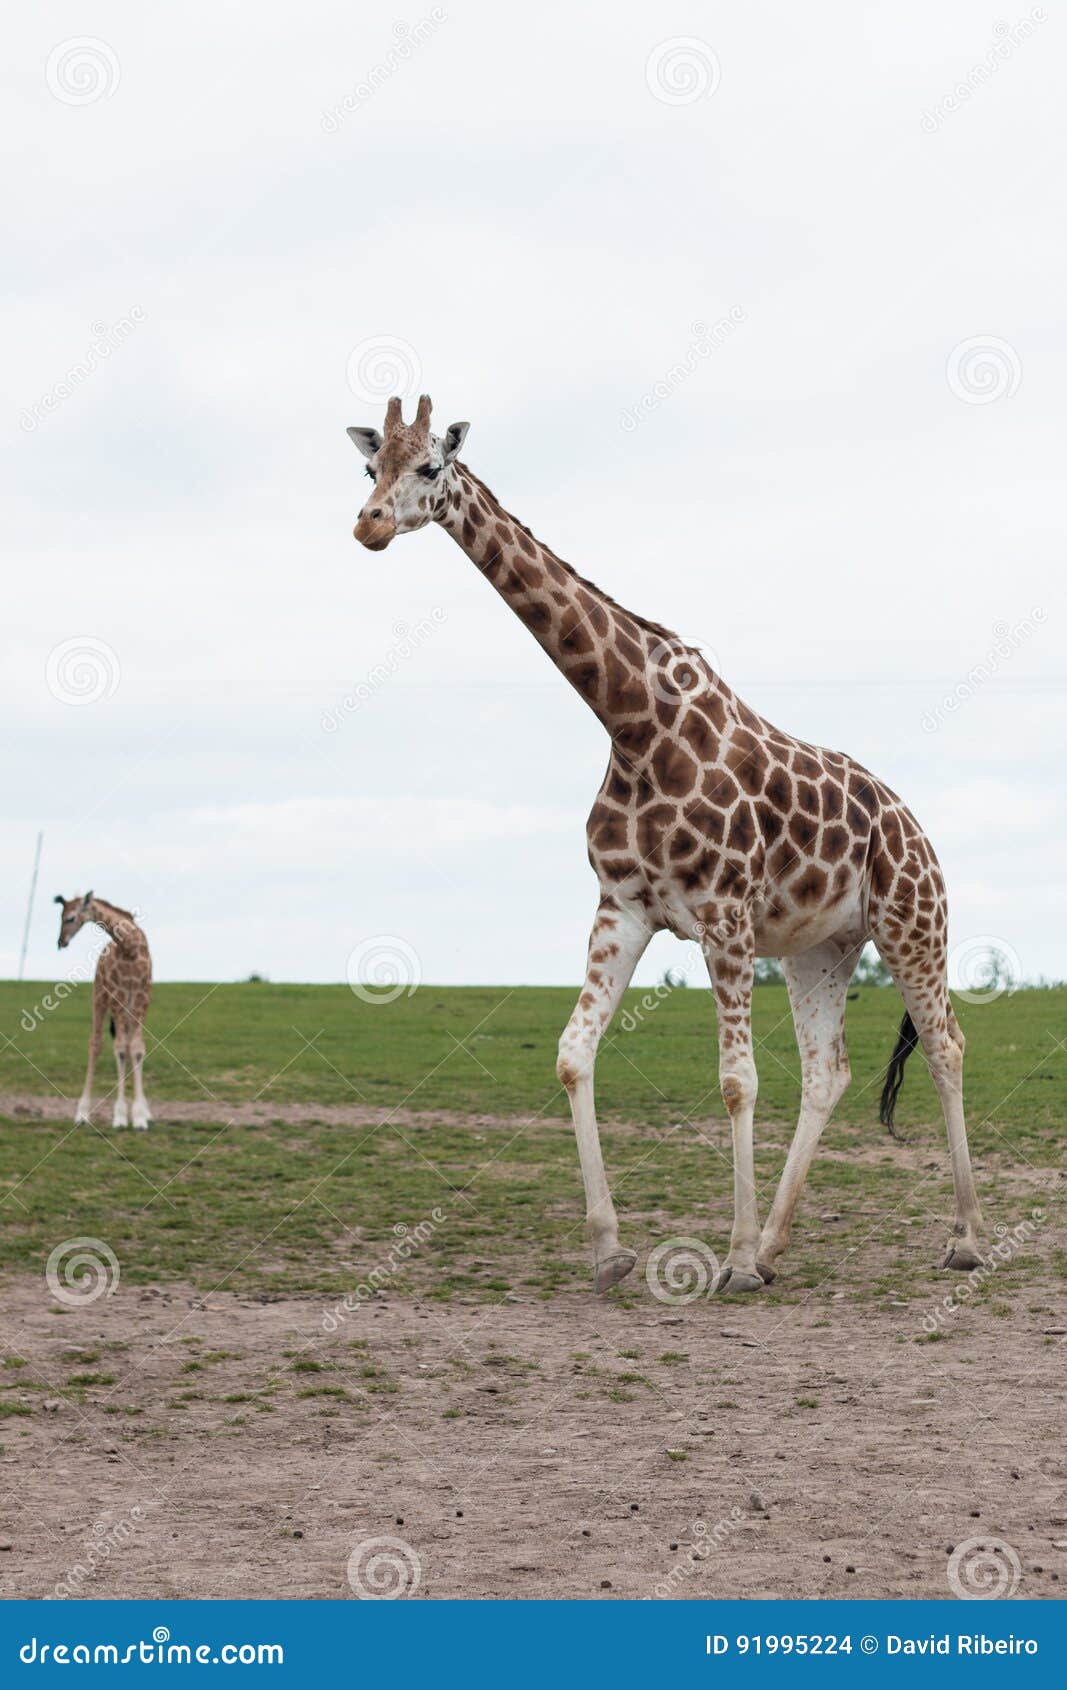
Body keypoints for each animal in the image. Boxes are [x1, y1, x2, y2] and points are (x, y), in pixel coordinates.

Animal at [55, 893, 153, 1130]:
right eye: (61, 916)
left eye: (70, 918)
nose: (61, 941)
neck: (129, 947)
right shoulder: (117, 996)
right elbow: (120, 1049)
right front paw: (120, 1116)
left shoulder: (141, 997)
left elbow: (136, 1048)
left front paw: (140, 1117)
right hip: (99, 997)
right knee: (96, 1043)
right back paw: (82, 1114)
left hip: (128, 1008)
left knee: (129, 1043)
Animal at [347, 396, 983, 1293]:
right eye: (371, 468)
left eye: (430, 466)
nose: (368, 524)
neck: (631, 719)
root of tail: (915, 826)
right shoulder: (622, 907)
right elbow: (573, 1055)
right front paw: (611, 1249)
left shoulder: (723, 916)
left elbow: (736, 1082)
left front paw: (734, 1260)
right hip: (819, 948)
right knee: (827, 1072)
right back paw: (780, 1244)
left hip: (913, 924)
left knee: (944, 1047)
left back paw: (961, 1239)